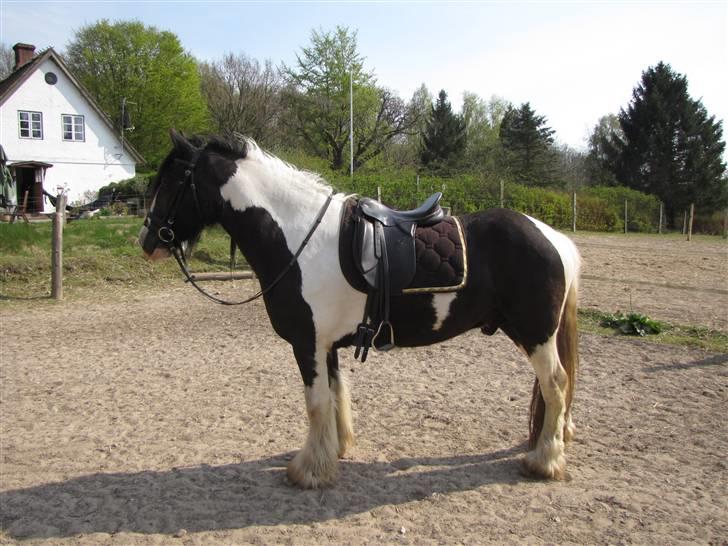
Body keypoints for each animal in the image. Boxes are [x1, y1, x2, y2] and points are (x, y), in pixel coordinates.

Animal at [139, 130, 584, 486]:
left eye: (173, 181)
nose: (148, 241)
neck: (297, 237)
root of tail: (553, 238)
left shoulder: (307, 345)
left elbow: (316, 402)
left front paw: (309, 471)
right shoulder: (326, 345)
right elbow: (335, 395)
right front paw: (333, 452)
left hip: (535, 334)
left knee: (556, 384)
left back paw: (544, 462)